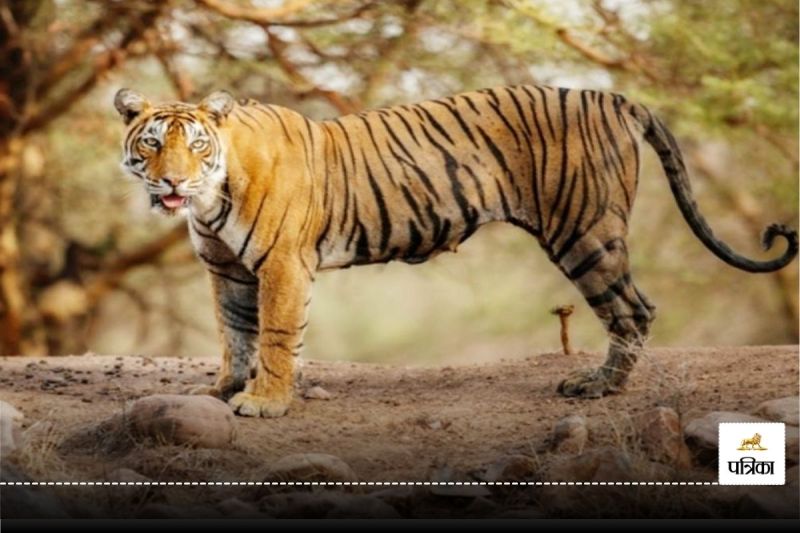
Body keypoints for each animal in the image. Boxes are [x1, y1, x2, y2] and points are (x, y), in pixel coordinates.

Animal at [114, 85, 798, 418]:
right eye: (152, 144)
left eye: (196, 146)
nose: (172, 183)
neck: (210, 199)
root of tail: (613, 96)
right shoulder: (226, 269)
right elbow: (235, 334)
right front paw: (225, 390)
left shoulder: (282, 264)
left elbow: (276, 336)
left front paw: (264, 403)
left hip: (585, 232)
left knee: (633, 310)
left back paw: (598, 388)